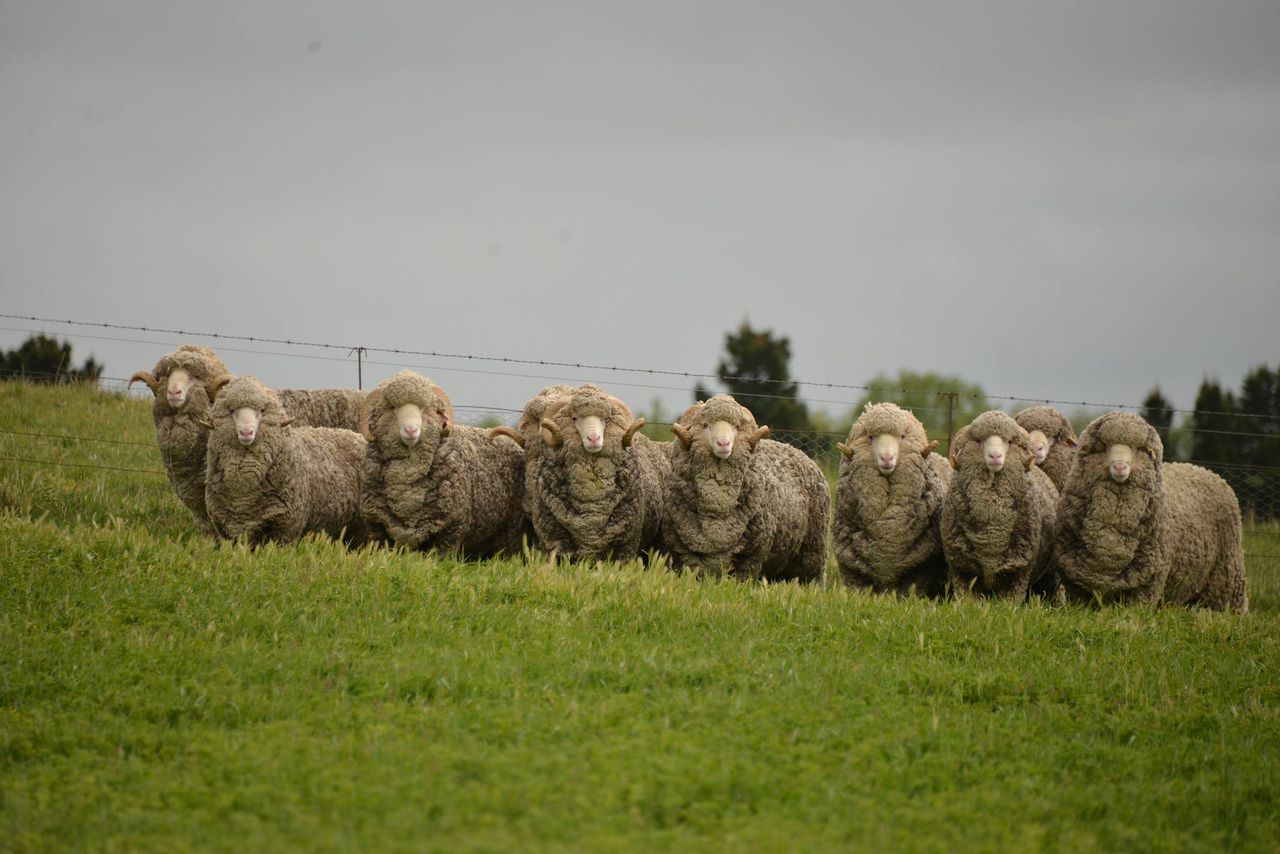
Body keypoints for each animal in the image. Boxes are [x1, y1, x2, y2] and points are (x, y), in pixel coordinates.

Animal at [201, 375, 367, 546]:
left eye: (261, 411)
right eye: (233, 411)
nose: (246, 432)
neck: (243, 497)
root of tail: (355, 435)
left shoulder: (286, 528)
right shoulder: (225, 530)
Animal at [359, 370, 525, 557]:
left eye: (424, 408)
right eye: (392, 408)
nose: (411, 430)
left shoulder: (450, 531)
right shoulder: (377, 528)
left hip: (511, 531)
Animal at [661, 394, 829, 582]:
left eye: (737, 426)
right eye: (705, 425)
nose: (724, 443)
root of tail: (797, 450)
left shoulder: (750, 557)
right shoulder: (685, 554)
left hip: (813, 552)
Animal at [941, 410, 1059, 600]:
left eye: (1009, 442)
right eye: (980, 441)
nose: (995, 456)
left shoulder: (1017, 573)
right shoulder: (962, 571)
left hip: (1050, 572)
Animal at [1052, 411, 1247, 613]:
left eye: (1139, 449)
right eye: (1104, 446)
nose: (1120, 467)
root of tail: (1204, 469)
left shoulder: (1145, 587)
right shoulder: (1076, 587)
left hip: (1226, 578)